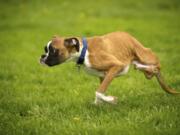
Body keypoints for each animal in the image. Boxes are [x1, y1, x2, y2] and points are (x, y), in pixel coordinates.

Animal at [39, 31, 179, 104]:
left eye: (53, 50)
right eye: (46, 49)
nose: (42, 57)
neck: (83, 51)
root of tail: (130, 36)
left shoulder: (116, 66)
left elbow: (98, 91)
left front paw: (110, 100)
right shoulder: (104, 76)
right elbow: (101, 91)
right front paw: (99, 103)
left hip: (144, 54)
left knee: (156, 66)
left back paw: (150, 67)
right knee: (150, 72)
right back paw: (144, 68)